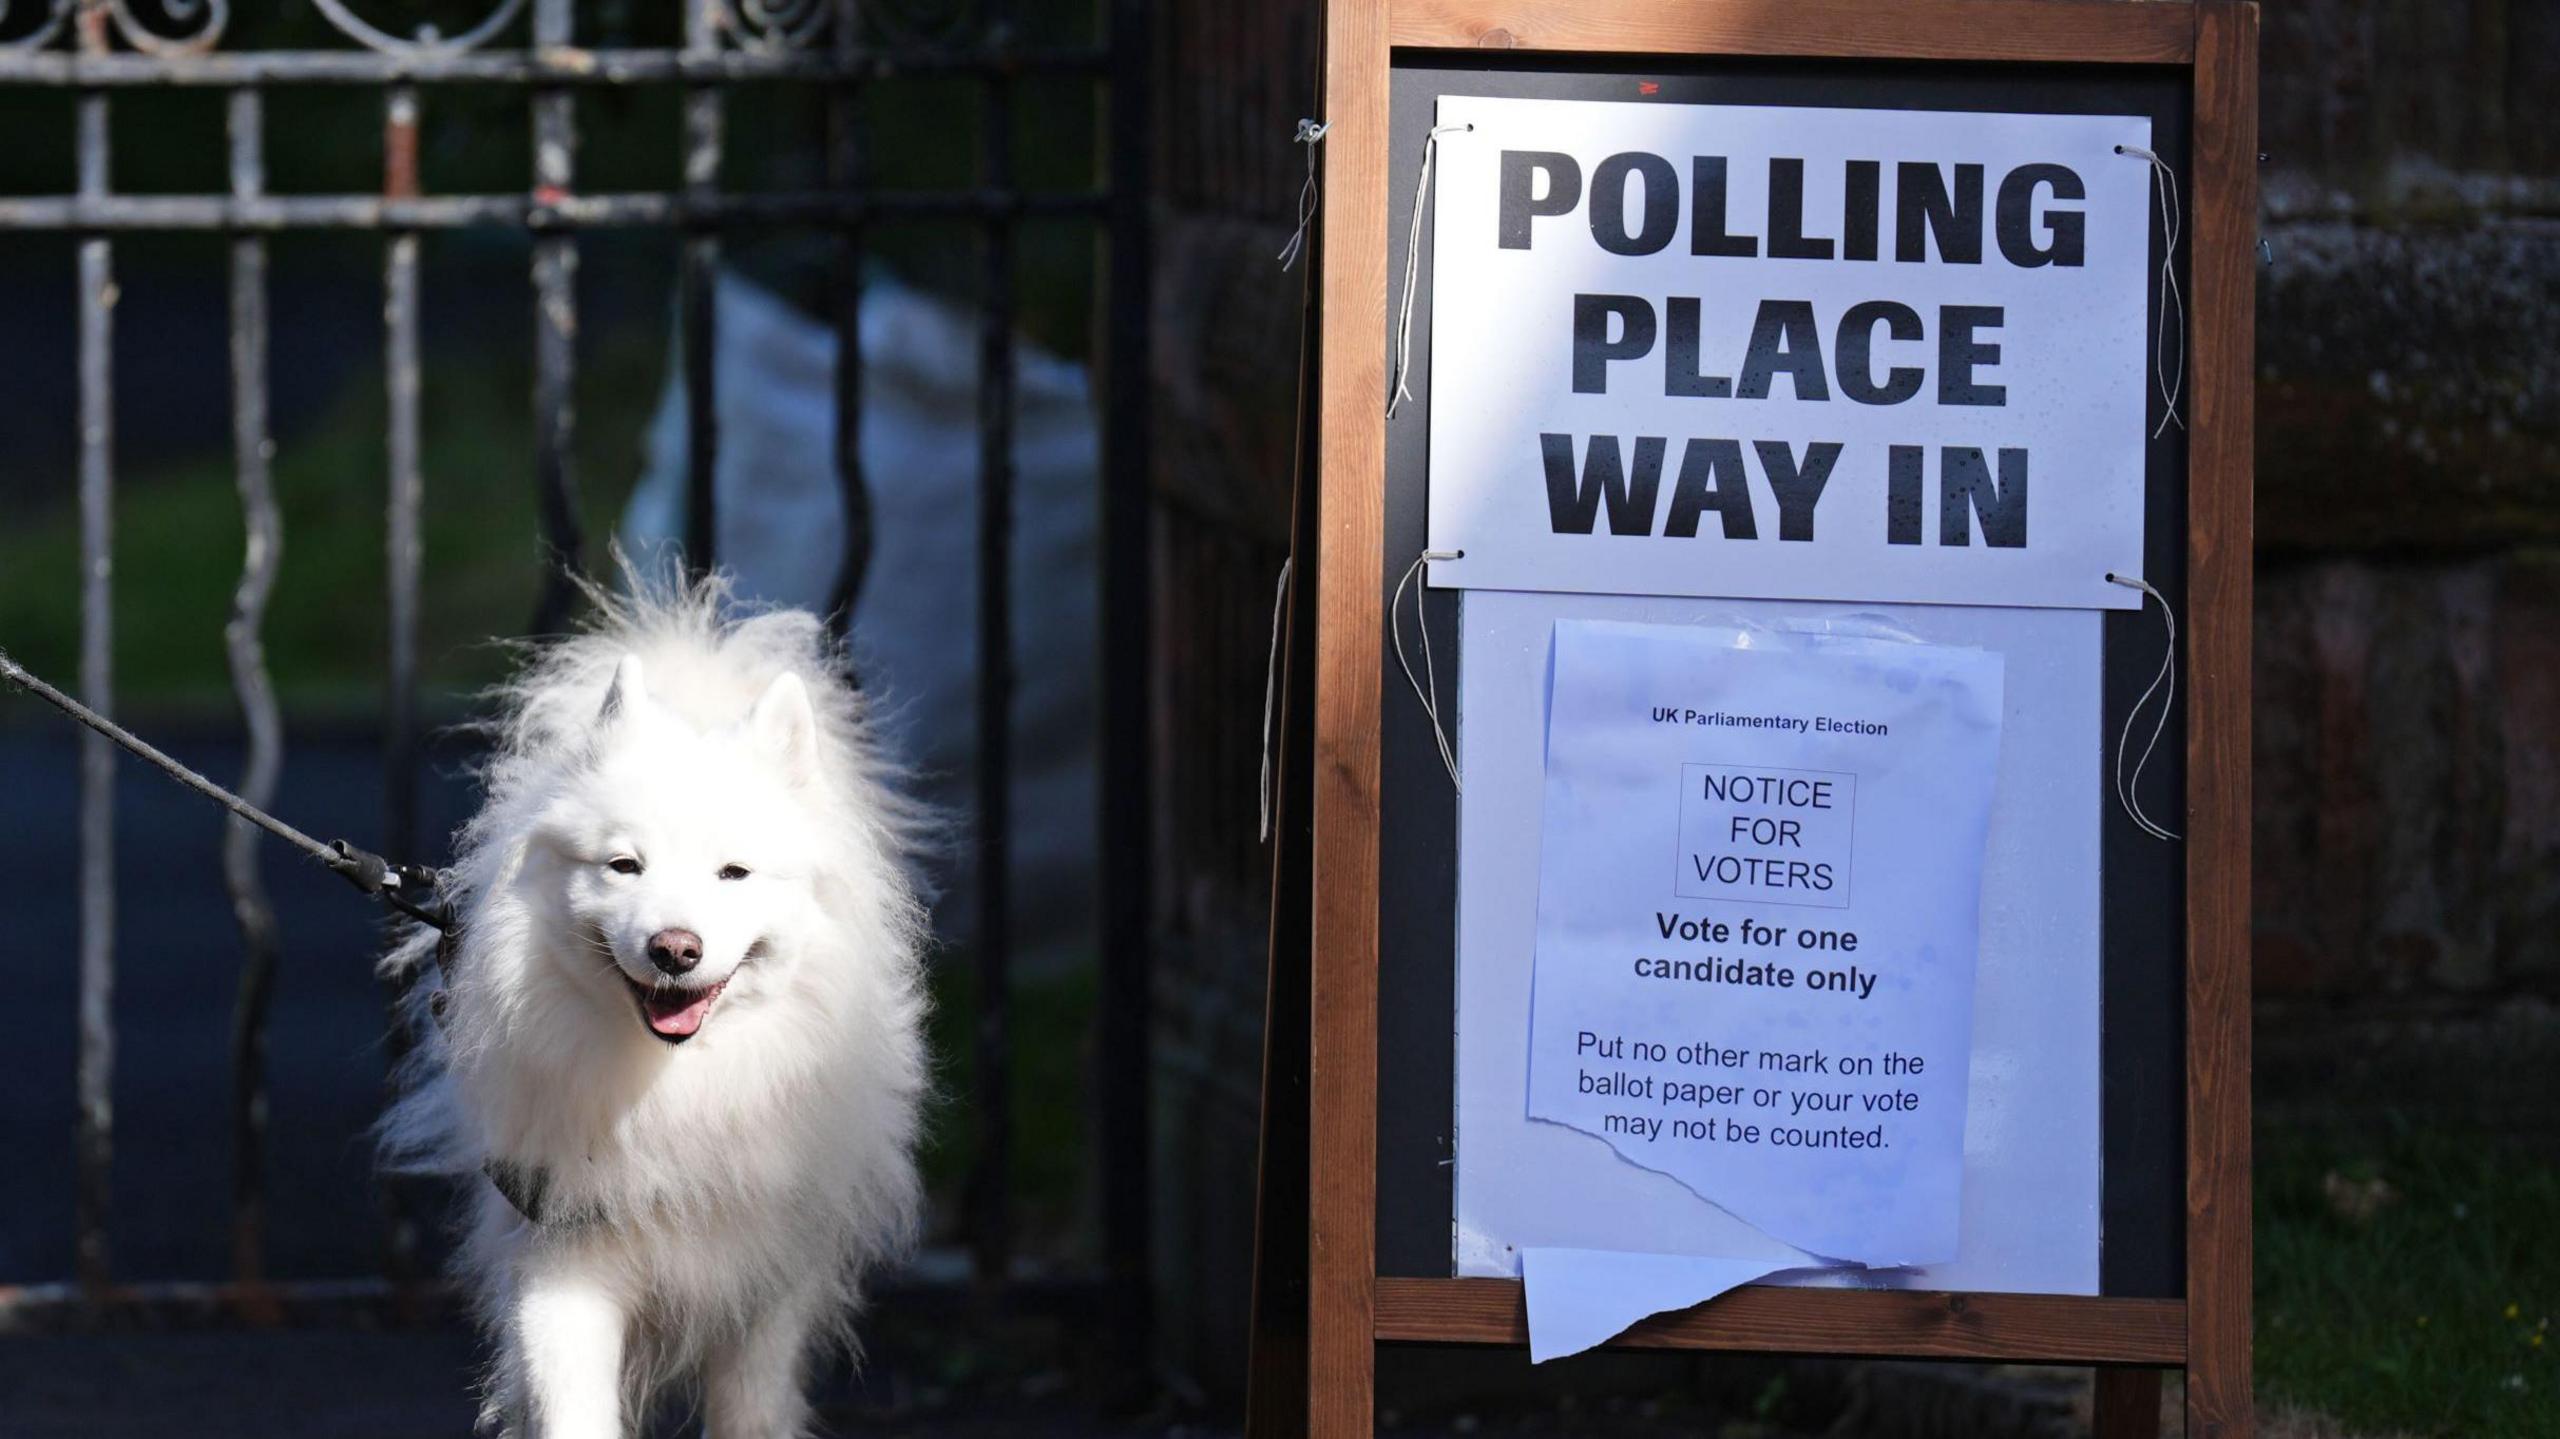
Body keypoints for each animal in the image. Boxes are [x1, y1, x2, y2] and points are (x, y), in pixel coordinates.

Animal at [378, 578, 931, 1433]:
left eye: (734, 872)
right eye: (623, 865)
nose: (676, 948)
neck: (677, 1088)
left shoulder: (764, 1279)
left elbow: (750, 1410)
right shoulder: (564, 1257)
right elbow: (572, 1405)